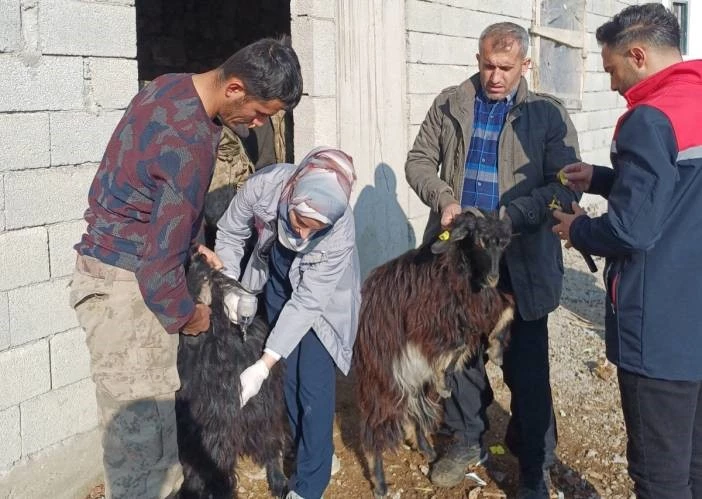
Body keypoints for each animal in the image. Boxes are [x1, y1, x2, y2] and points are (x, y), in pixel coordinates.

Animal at [354, 207, 516, 496]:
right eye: (479, 241)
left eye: (504, 243)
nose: (493, 278)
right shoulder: (426, 322)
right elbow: (457, 344)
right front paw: (444, 380)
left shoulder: (476, 309)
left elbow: (508, 306)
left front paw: (496, 349)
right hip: (381, 379)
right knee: (373, 429)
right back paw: (380, 483)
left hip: (414, 379)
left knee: (413, 412)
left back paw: (426, 449)